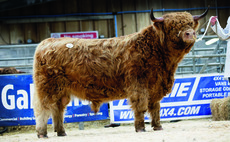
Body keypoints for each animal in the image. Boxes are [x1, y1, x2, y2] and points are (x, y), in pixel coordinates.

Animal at [33, 8, 208, 138]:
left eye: (190, 23)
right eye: (172, 25)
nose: (190, 34)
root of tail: (47, 42)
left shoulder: (155, 87)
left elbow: (155, 108)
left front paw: (158, 127)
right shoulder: (138, 84)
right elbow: (141, 106)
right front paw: (140, 128)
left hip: (61, 91)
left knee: (57, 110)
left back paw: (61, 132)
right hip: (47, 88)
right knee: (43, 109)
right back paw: (42, 134)